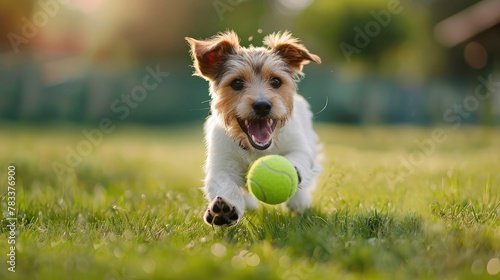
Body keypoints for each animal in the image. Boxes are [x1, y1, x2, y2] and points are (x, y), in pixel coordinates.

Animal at [186, 31, 322, 225]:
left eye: (276, 81)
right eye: (236, 83)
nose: (262, 105)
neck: (256, 149)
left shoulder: (300, 146)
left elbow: (298, 157)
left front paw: (293, 171)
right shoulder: (221, 164)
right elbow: (225, 185)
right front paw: (224, 209)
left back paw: (299, 203)